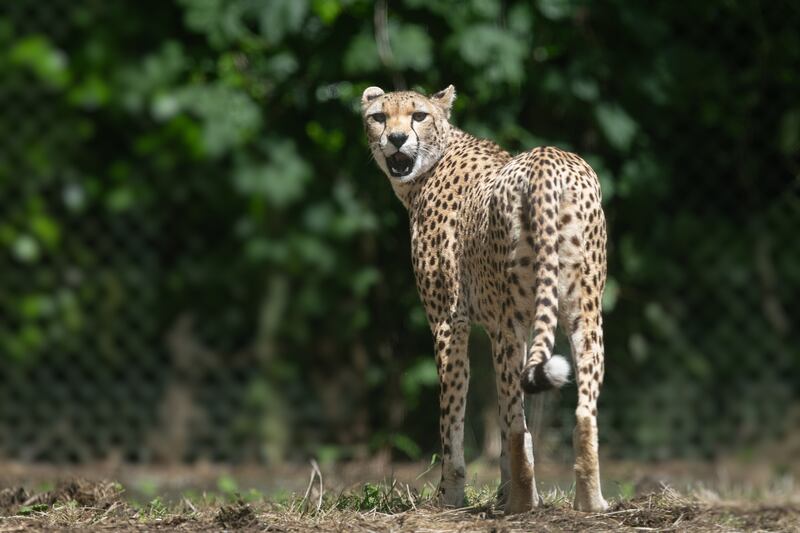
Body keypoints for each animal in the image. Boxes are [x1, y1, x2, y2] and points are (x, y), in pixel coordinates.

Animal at [361, 84, 609, 514]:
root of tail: (550, 158)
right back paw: (589, 502)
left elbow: (453, 419)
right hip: (584, 316)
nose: (396, 138)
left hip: (515, 323)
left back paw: (522, 505)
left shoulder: (450, 322)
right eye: (379, 116)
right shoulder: (495, 328)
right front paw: (504, 490)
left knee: (519, 420)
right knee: (582, 413)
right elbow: (507, 419)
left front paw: (450, 496)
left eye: (418, 115)